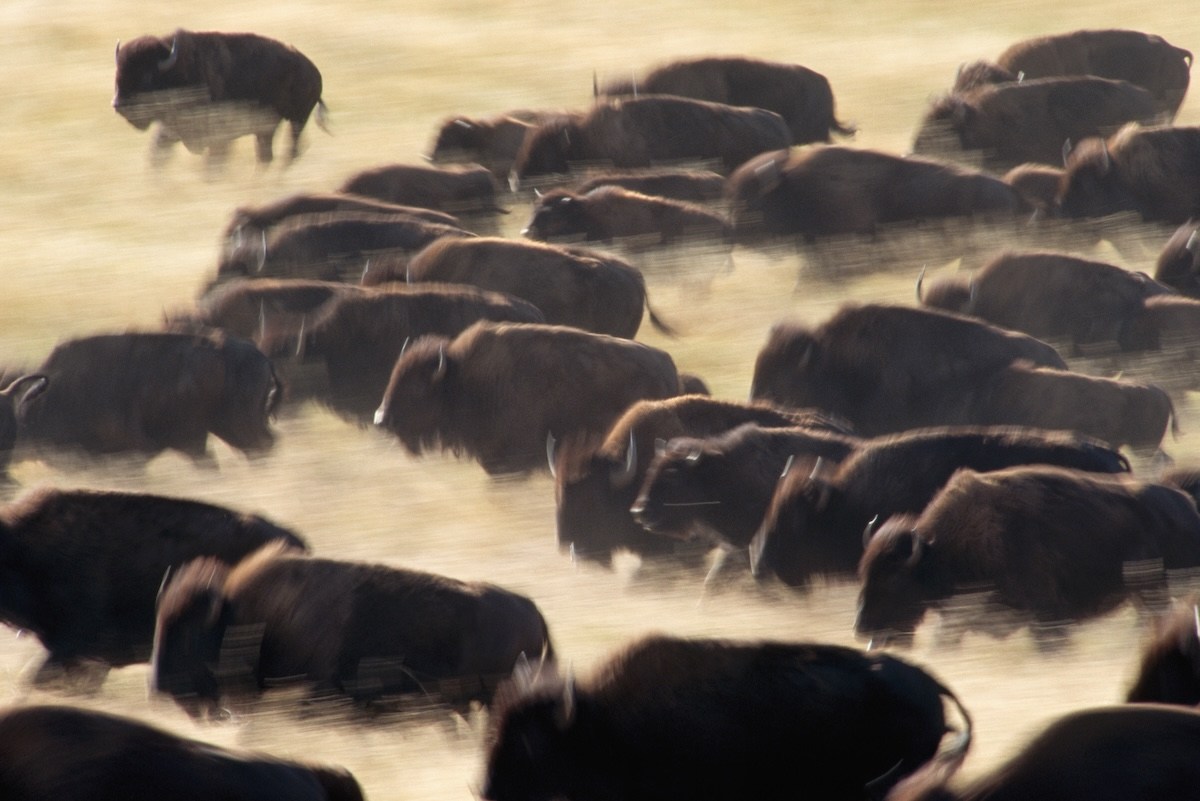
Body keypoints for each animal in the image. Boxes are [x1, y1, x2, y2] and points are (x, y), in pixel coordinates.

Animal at [113, 30, 326, 168]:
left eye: (146, 76)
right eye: (118, 72)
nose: (118, 105)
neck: (179, 72)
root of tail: (314, 72)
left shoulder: (219, 135)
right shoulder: (170, 131)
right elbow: (157, 156)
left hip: (297, 120)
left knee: (290, 151)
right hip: (268, 129)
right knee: (267, 155)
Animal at [373, 322, 682, 475]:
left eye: (417, 388)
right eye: (394, 378)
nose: (381, 419)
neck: (462, 379)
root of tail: (667, 364)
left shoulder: (509, 459)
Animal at [856, 465, 1200, 648]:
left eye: (893, 580)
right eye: (865, 574)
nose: (862, 628)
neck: (937, 550)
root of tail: (1185, 505)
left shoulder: (1047, 614)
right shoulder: (957, 622)